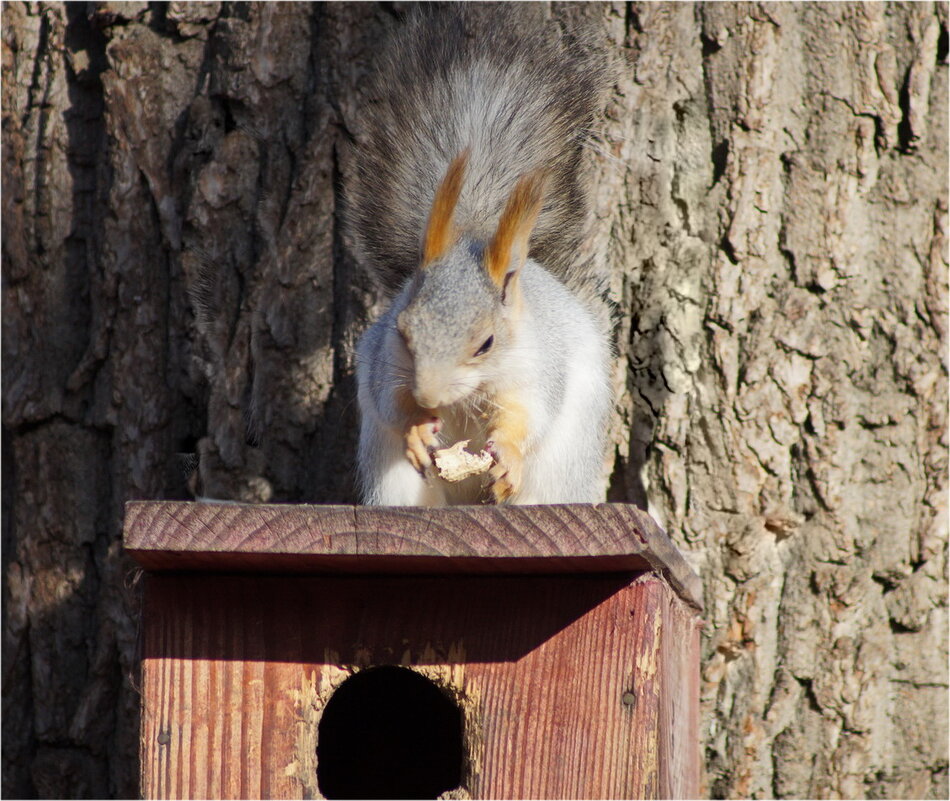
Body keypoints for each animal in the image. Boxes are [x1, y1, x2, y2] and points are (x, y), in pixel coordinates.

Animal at [348, 4, 608, 506]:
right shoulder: (386, 361)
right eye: (404, 331)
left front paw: (506, 453)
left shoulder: (537, 366)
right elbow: (390, 402)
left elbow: (528, 414)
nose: (429, 398)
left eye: (486, 343)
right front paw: (416, 426)